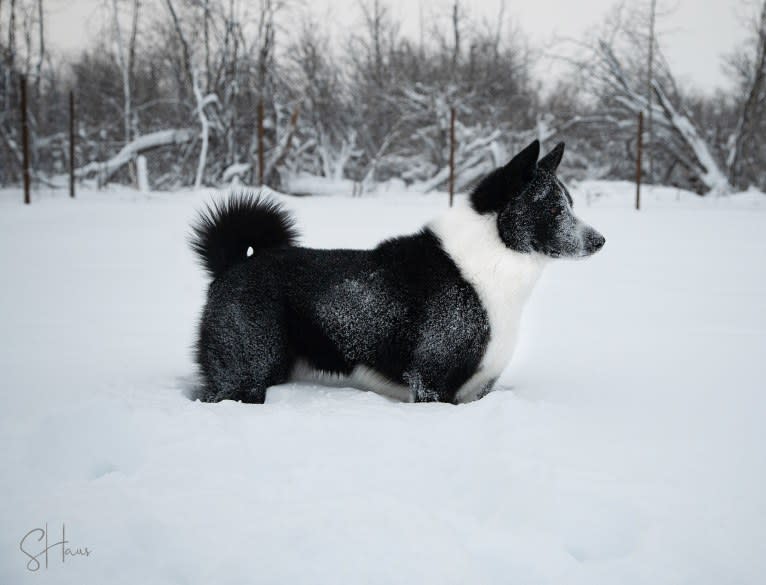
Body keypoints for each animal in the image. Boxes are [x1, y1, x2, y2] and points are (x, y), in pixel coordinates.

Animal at [190, 139, 608, 404]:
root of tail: (233, 263)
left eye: (570, 204)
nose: (600, 240)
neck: (494, 254)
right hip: (245, 378)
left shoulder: (477, 389)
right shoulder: (431, 383)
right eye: (552, 208)